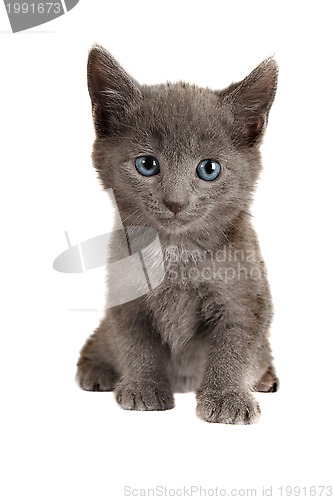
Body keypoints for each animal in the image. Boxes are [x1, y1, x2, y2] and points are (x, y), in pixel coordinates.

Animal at [76, 45, 280, 424]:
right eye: (147, 164)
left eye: (209, 169)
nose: (175, 202)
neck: (175, 250)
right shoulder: (126, 300)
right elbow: (136, 344)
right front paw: (143, 388)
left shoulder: (246, 298)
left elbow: (234, 347)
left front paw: (228, 398)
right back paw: (96, 369)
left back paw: (264, 379)